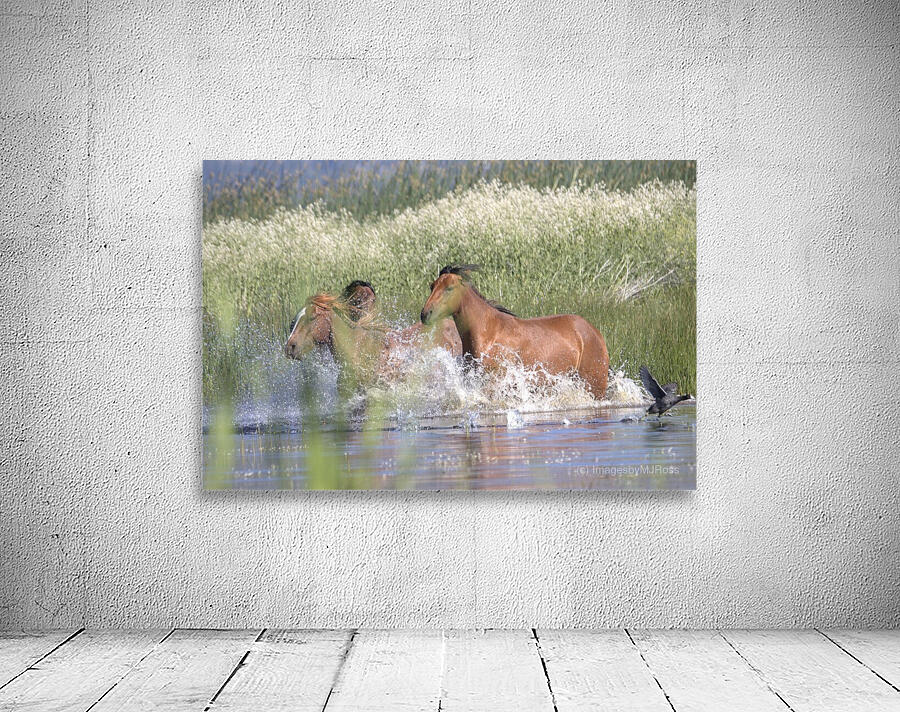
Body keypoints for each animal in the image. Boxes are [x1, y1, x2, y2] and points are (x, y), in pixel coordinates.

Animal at [420, 265, 610, 397]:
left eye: (449, 288)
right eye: (432, 286)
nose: (425, 314)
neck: (487, 334)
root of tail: (594, 332)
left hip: (595, 386)